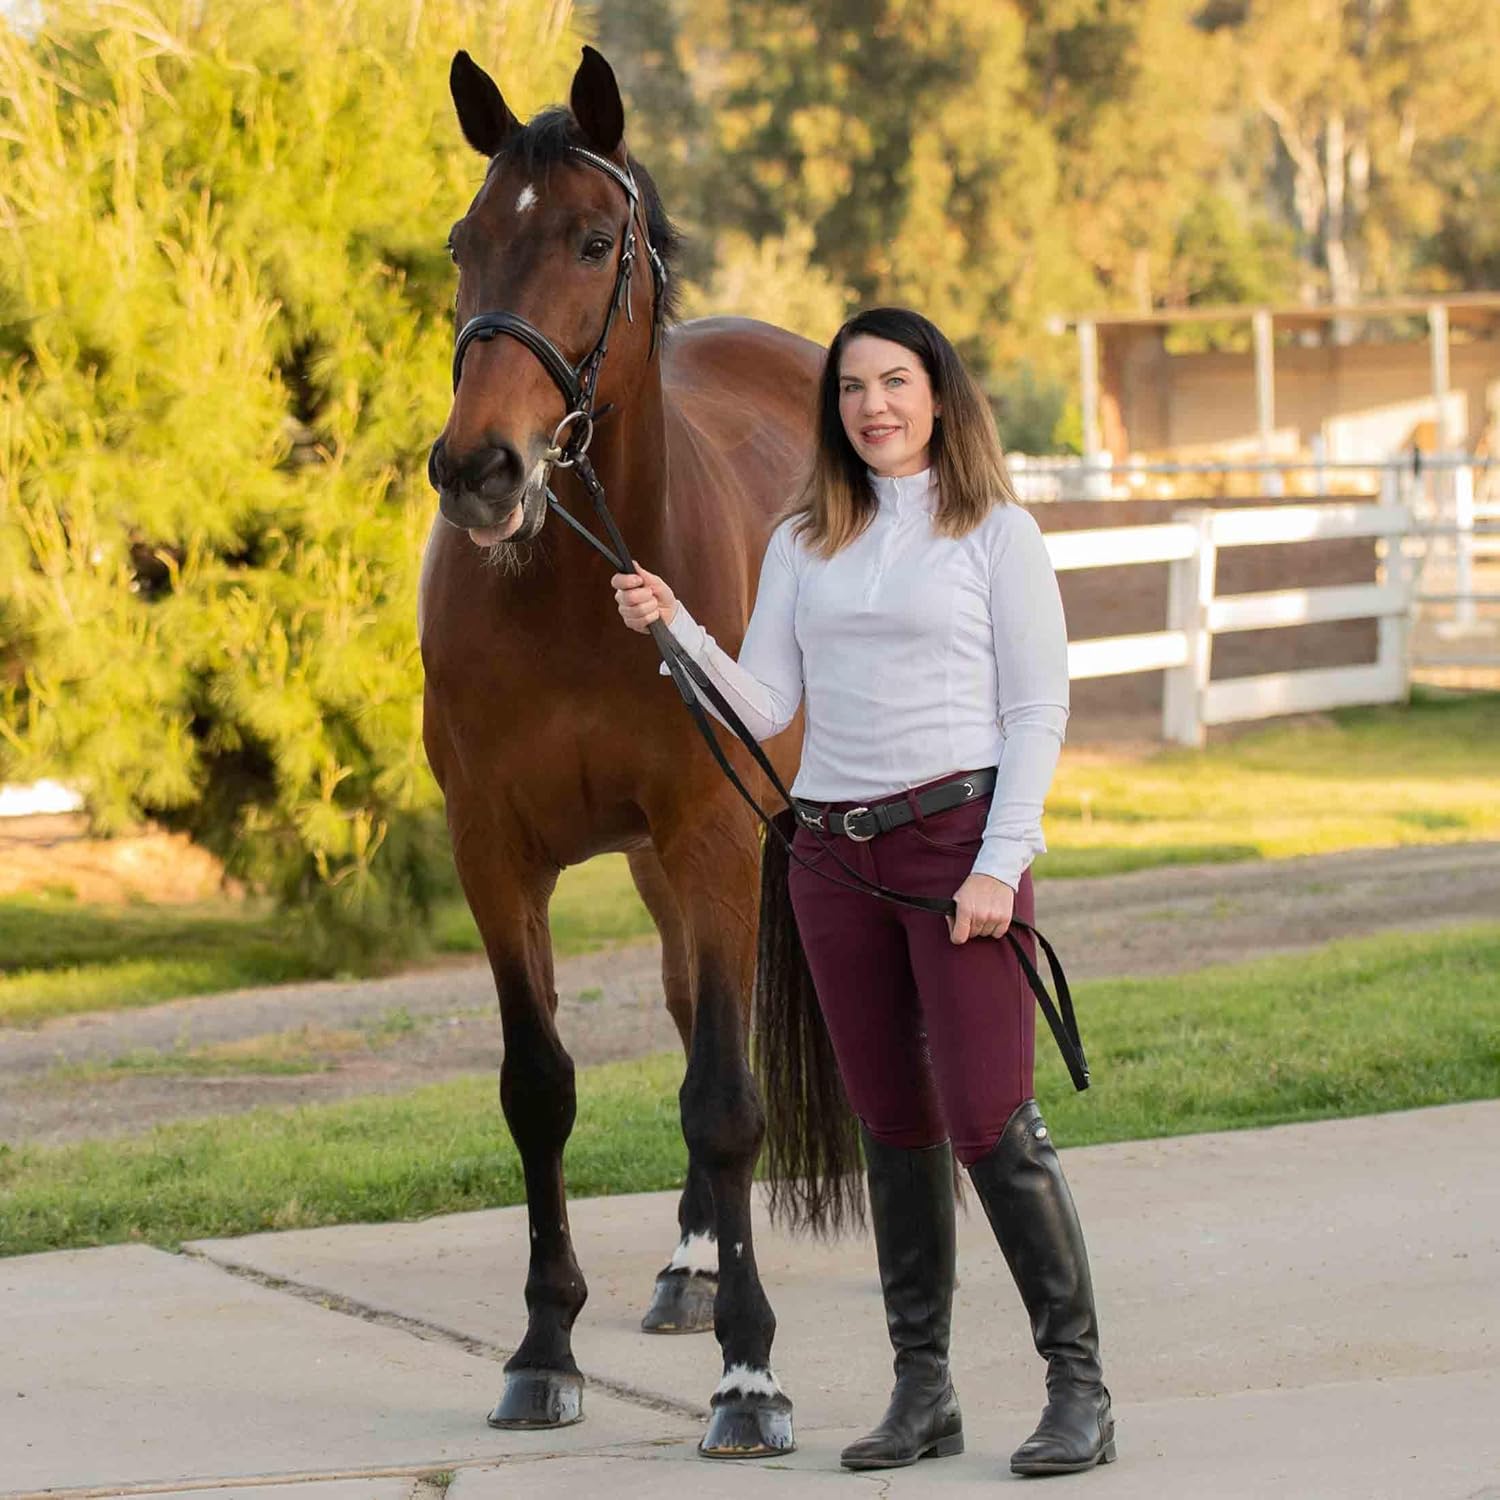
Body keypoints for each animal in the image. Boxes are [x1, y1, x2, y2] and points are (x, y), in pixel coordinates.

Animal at [419, 44, 822, 1456]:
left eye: (595, 243)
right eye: (464, 242)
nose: (480, 467)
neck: (574, 591)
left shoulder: (715, 837)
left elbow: (725, 1099)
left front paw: (753, 1378)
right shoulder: (496, 857)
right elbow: (539, 1089)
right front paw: (544, 1349)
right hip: (663, 869)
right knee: (695, 1015)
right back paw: (694, 1267)